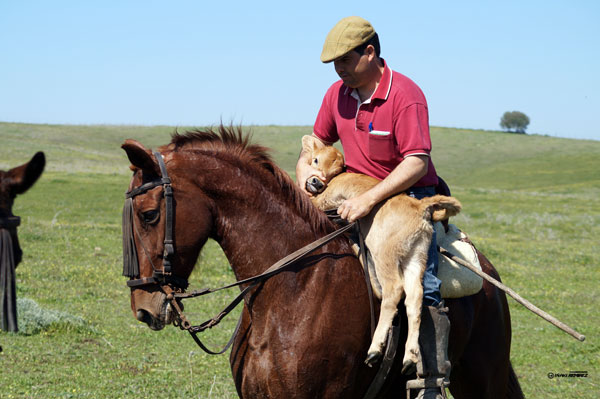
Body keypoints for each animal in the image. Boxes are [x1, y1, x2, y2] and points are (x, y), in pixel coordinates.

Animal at [119, 127, 524, 399]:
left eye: (149, 214)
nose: (142, 307)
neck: (293, 287)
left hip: (480, 377)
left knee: (398, 293)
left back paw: (381, 349)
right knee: (411, 298)